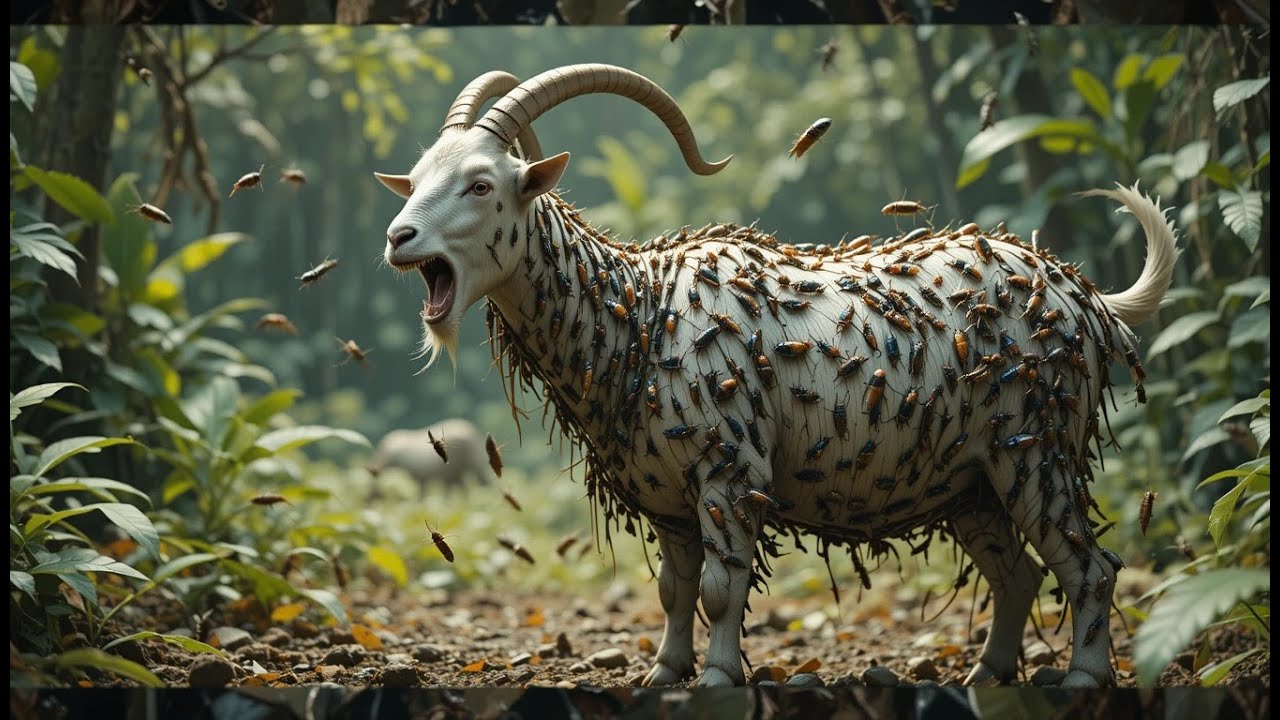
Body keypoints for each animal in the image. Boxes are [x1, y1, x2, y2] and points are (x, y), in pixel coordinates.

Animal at [374, 64, 1178, 688]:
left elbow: (721, 588)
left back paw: (1084, 676)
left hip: (1038, 450)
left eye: (481, 185)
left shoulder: (730, 471)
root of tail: (1088, 300)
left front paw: (718, 676)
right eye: (413, 180)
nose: (397, 238)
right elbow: (674, 589)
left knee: (1090, 566)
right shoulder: (667, 496)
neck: (638, 311)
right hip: (971, 480)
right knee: (1017, 571)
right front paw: (664, 672)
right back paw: (988, 673)